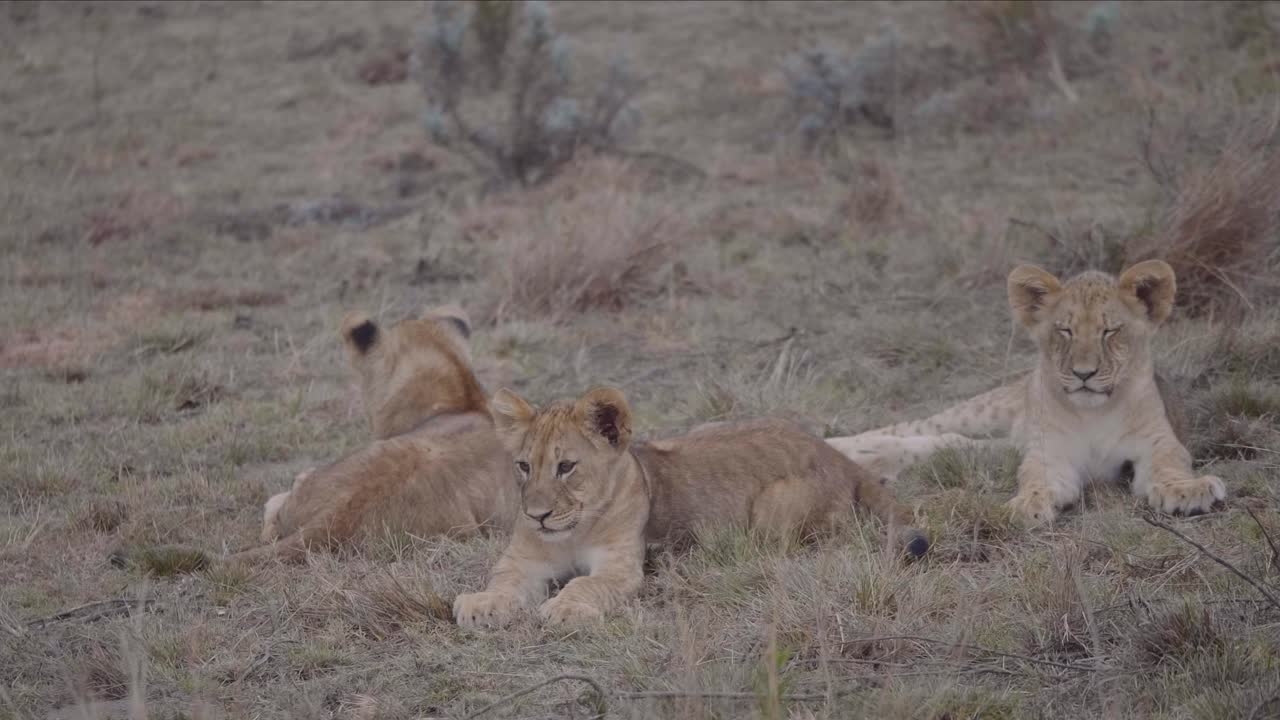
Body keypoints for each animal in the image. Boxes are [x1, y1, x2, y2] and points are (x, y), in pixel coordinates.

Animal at [453, 386, 928, 627]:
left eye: (566, 467)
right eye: (523, 466)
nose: (537, 516)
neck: (573, 530)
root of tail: (835, 453)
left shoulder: (620, 568)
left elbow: (585, 584)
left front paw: (566, 608)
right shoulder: (522, 562)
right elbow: (503, 583)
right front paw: (481, 604)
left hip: (773, 511)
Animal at [826, 260, 1226, 526]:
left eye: (1110, 331)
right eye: (1064, 330)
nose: (1083, 374)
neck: (1094, 412)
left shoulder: (1158, 443)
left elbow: (1169, 465)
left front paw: (1188, 492)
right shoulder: (1050, 453)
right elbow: (1036, 480)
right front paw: (1026, 507)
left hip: (997, 446)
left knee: (949, 444)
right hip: (981, 412)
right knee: (913, 429)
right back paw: (843, 447)